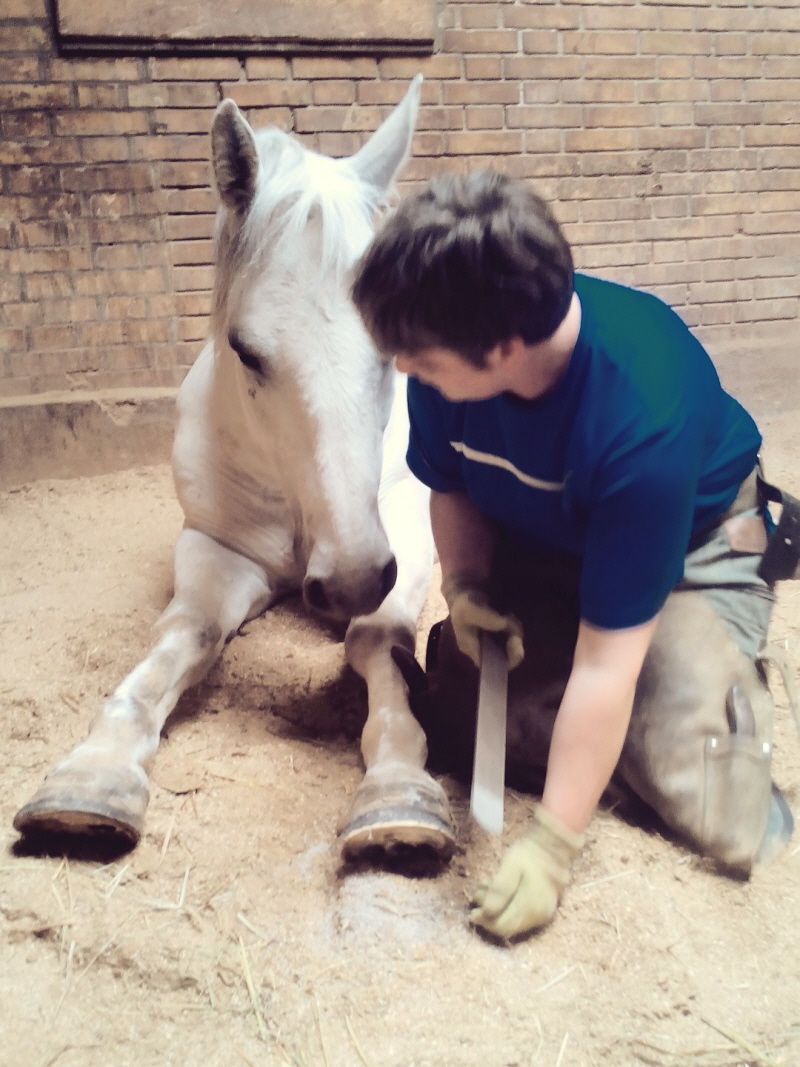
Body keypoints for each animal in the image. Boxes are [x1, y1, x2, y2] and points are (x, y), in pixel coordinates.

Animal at [12, 75, 456, 862]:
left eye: (394, 340)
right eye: (244, 349)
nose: (349, 579)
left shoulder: (402, 539)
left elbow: (379, 640)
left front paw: (398, 786)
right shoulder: (214, 548)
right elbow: (183, 635)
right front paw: (93, 775)